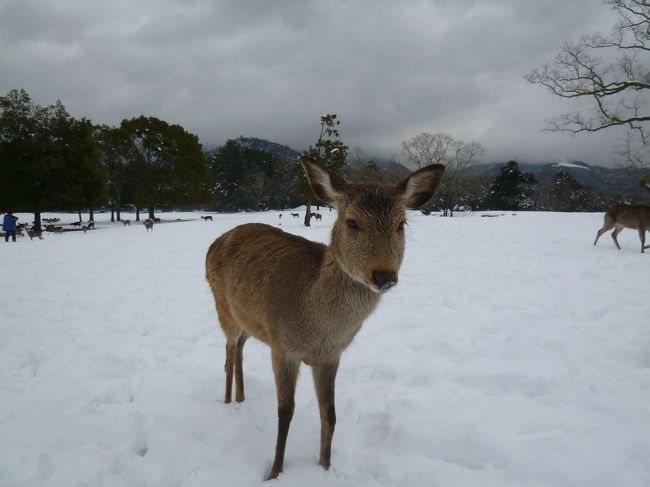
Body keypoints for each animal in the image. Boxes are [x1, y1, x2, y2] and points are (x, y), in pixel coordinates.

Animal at [205, 154, 444, 480]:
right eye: (352, 222)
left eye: (401, 223)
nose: (384, 276)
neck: (318, 328)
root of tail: (216, 241)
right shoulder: (283, 347)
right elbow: (285, 412)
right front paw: (275, 472)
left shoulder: (332, 355)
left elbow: (329, 414)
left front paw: (325, 466)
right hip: (222, 307)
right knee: (229, 349)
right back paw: (229, 401)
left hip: (249, 321)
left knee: (240, 347)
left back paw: (241, 398)